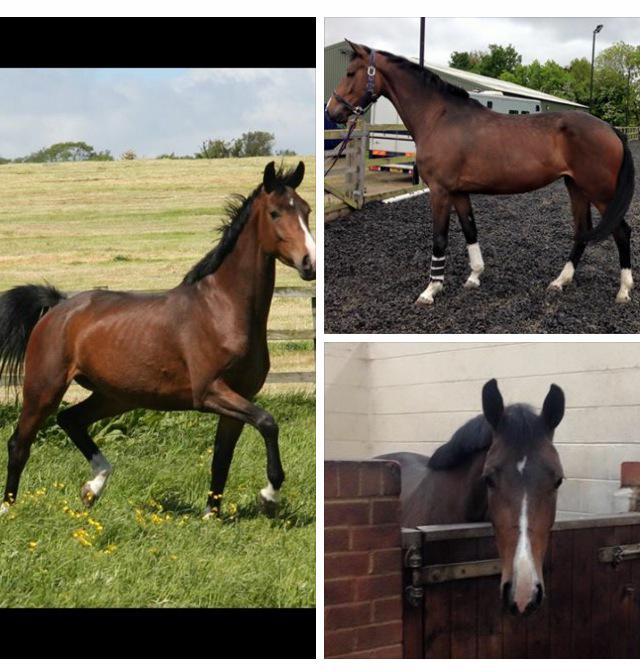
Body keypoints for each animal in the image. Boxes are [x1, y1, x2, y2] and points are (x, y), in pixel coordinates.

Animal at [0, 161, 315, 519]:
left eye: (306, 210)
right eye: (275, 213)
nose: (309, 263)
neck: (223, 309)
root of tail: (58, 307)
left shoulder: (239, 397)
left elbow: (222, 458)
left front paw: (211, 515)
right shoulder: (209, 392)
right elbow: (268, 422)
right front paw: (268, 496)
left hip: (117, 395)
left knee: (71, 419)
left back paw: (93, 487)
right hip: (45, 388)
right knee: (20, 443)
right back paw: (9, 509)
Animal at [326, 41, 635, 305]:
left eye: (350, 73)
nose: (332, 111)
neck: (439, 118)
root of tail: (611, 129)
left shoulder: (440, 191)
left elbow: (440, 238)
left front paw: (430, 290)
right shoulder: (459, 192)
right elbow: (470, 229)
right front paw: (474, 276)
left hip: (599, 191)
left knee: (621, 231)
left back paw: (623, 291)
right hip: (576, 187)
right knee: (582, 230)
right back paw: (561, 281)